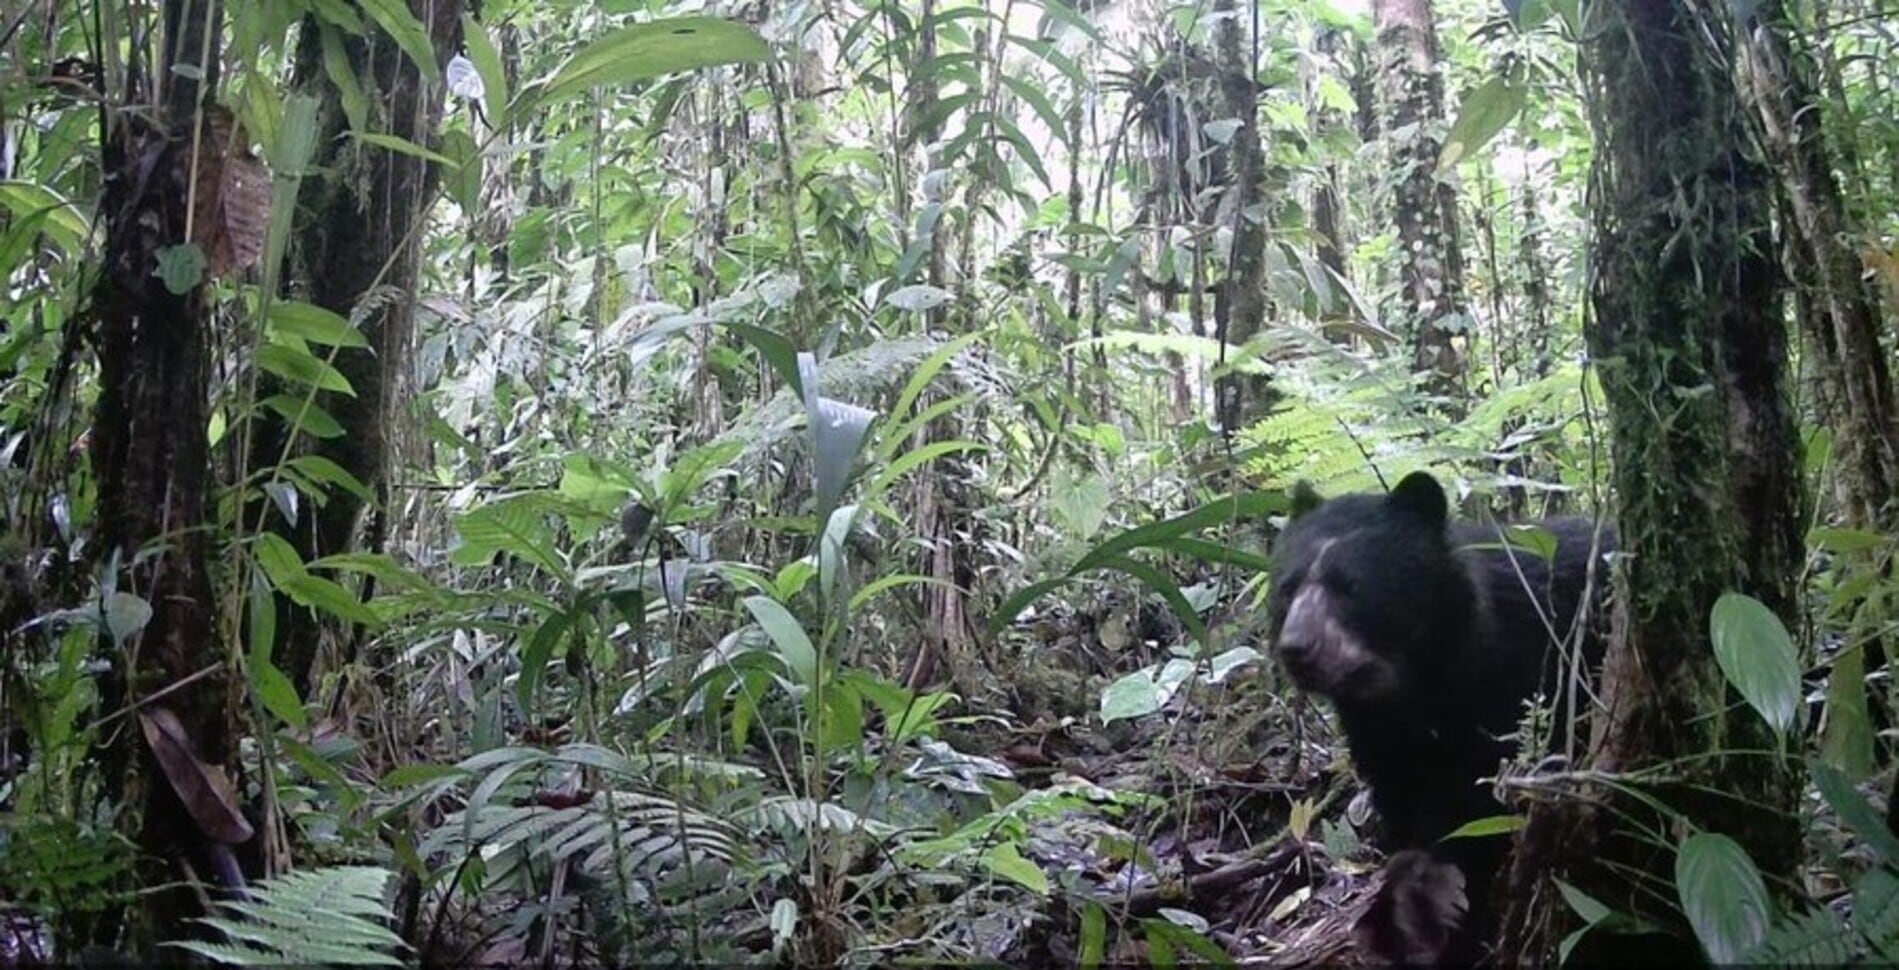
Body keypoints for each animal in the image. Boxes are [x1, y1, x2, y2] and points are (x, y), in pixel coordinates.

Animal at [1265, 470, 1616, 965]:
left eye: (1351, 586)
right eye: (1286, 588)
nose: (1297, 648)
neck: (1410, 684)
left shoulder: (1521, 679)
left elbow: (1481, 799)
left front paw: (1441, 907)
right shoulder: (1377, 730)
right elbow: (1403, 797)